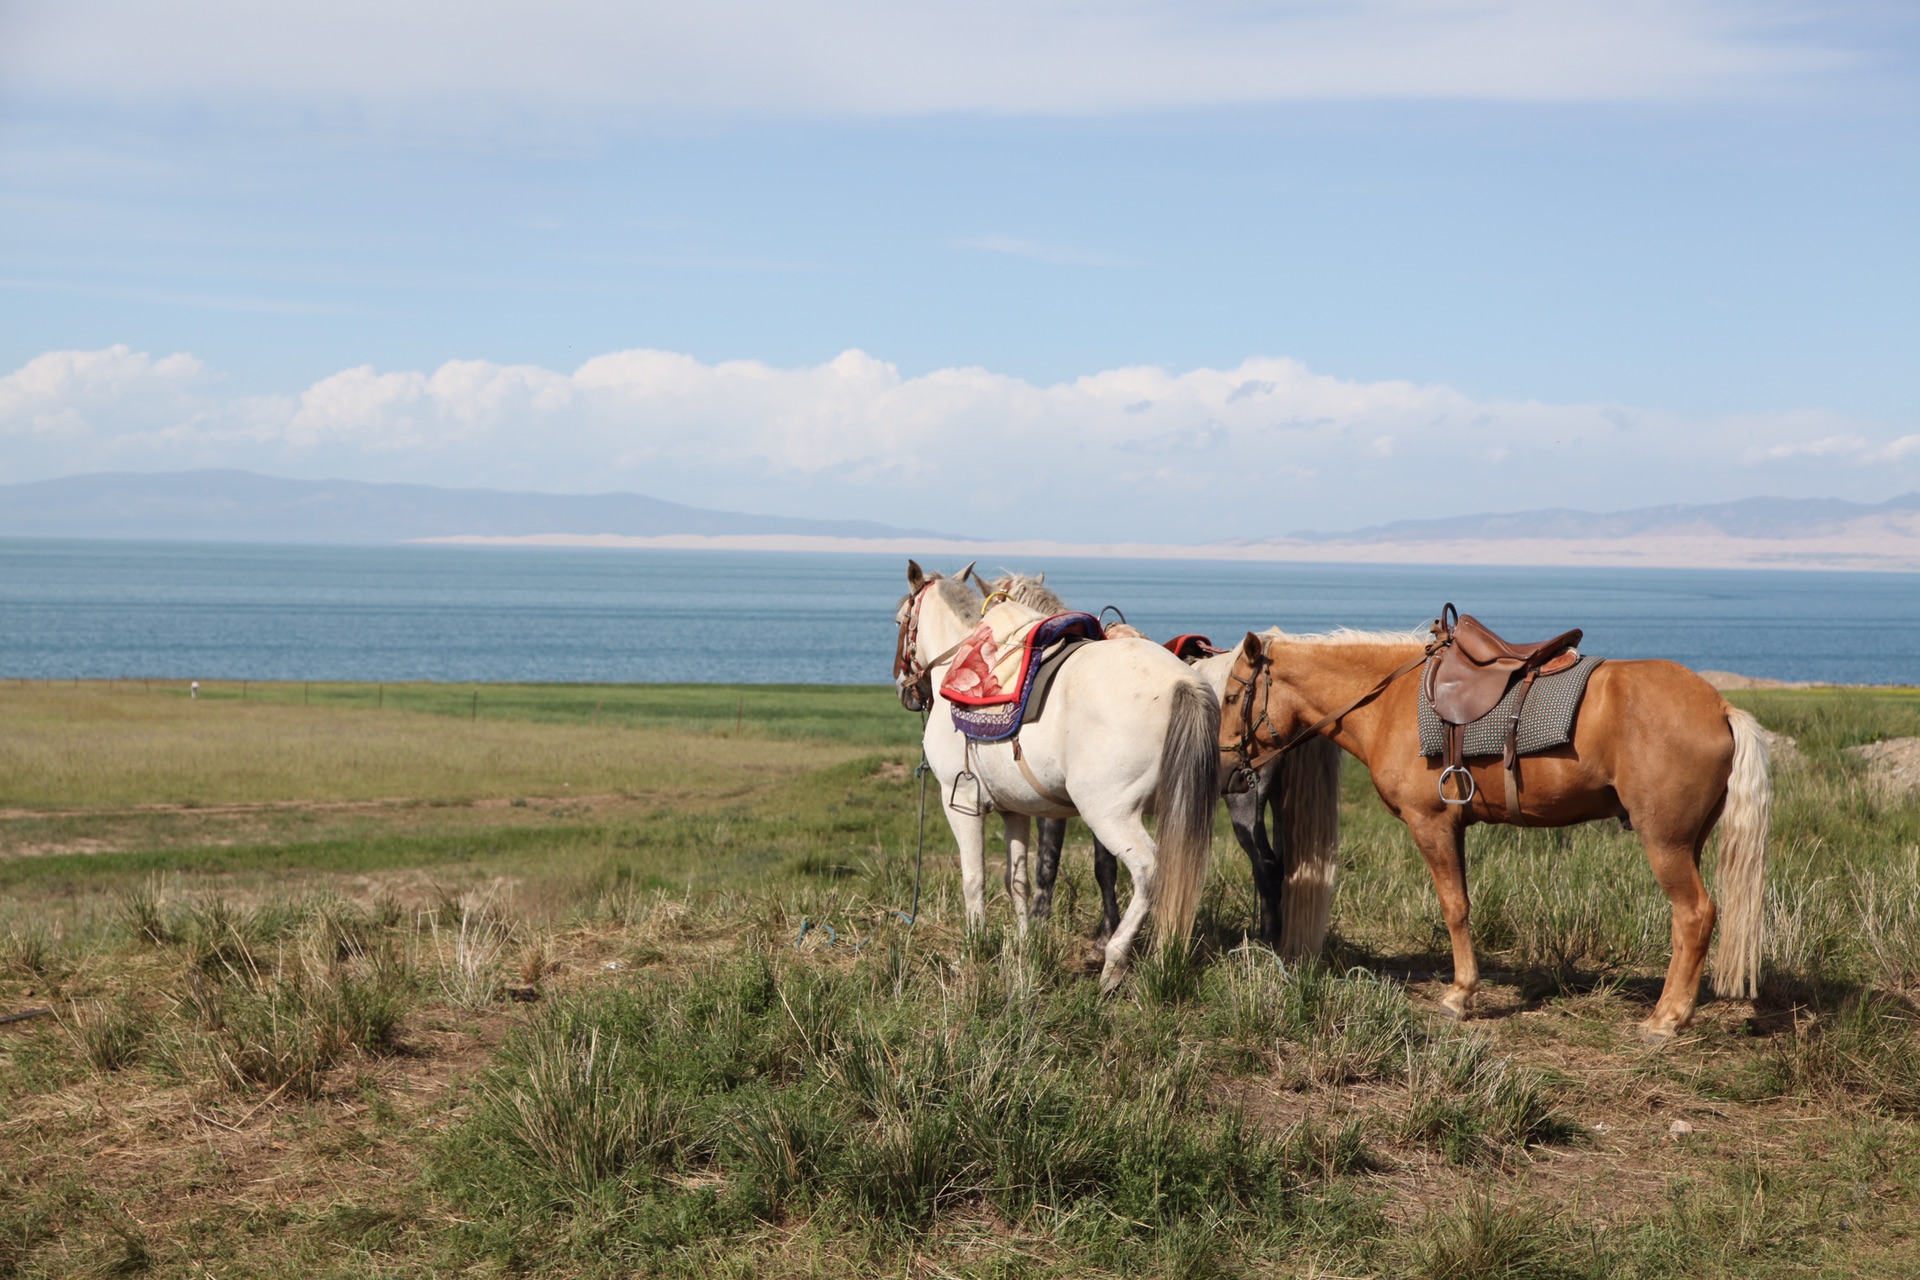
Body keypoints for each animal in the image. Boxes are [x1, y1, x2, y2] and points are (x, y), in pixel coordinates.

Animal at [894, 560, 1221, 990]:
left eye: (900, 619)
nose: (905, 692)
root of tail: (1183, 682)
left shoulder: (961, 801)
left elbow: (974, 878)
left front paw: (975, 946)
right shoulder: (1014, 809)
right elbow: (1018, 880)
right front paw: (1024, 944)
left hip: (1109, 813)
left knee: (1150, 870)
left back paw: (1114, 962)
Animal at [975, 571, 1336, 959]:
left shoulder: (1059, 806)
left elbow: (1050, 864)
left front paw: (1048, 926)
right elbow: (1105, 866)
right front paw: (1106, 931)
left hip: (1243, 801)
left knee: (1266, 865)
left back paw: (1266, 942)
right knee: (1283, 866)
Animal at [1221, 629, 1758, 1043]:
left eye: (1230, 697)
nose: (1227, 771)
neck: (1390, 701)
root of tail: (1719, 707)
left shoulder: (1431, 824)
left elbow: (1454, 908)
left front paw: (1460, 995)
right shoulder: (1453, 826)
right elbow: (1461, 904)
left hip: (1665, 844)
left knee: (1694, 915)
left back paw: (1666, 1020)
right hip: (1688, 843)